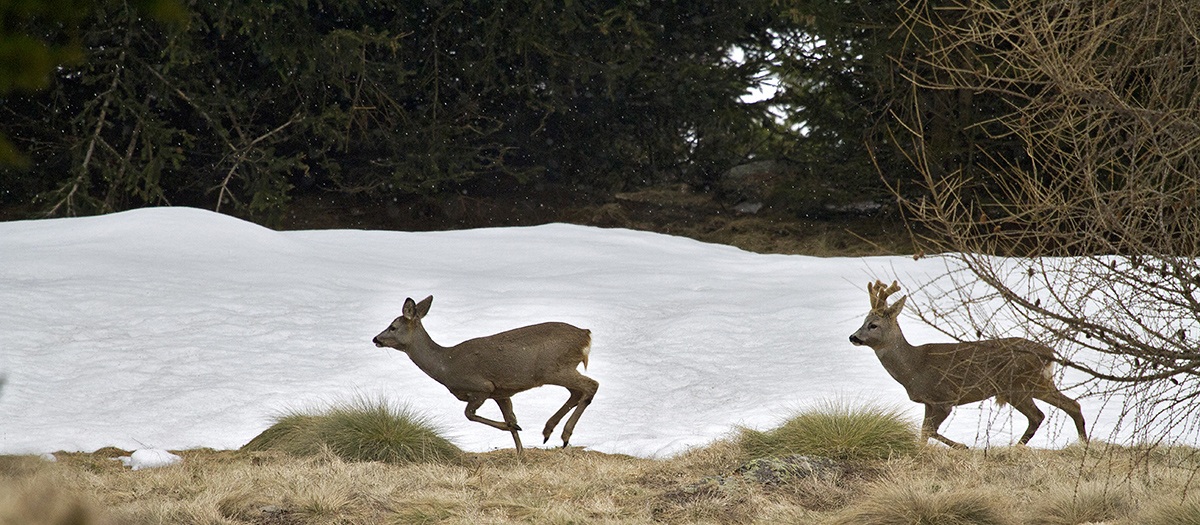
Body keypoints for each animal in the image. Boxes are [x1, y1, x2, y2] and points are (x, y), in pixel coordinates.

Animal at [372, 296, 598, 453]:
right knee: (576, 392)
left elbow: (469, 414)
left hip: (553, 368)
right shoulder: (502, 393)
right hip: (561, 368)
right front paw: (520, 452)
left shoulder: (482, 387)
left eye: (393, 327)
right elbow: (511, 417)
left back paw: (564, 435)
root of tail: (585, 335)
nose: (376, 339)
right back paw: (547, 431)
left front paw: (511, 427)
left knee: (591, 385)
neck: (445, 365)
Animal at [849, 280, 1088, 449]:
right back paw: (1082, 444)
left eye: (873, 324)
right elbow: (924, 433)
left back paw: (1015, 448)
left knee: (1038, 415)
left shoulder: (944, 398)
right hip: (1037, 383)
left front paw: (963, 446)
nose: (853, 337)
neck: (914, 367)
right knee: (1072, 405)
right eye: (862, 322)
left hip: (1016, 384)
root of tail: (1049, 352)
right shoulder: (928, 402)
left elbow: (928, 431)